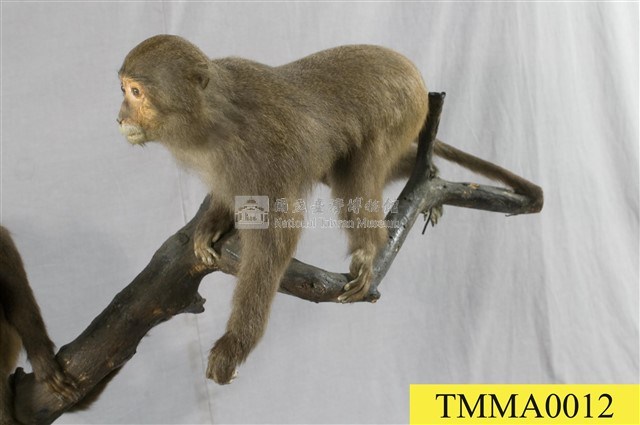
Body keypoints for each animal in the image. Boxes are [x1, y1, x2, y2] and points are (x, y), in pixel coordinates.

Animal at [117, 35, 543, 385]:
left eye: (136, 92)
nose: (120, 117)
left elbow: (278, 235)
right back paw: (427, 171)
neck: (213, 118)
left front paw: (236, 343)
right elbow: (232, 195)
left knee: (358, 171)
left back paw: (372, 246)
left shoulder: (263, 148)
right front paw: (211, 224)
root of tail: (413, 73)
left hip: (403, 108)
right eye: (124, 90)